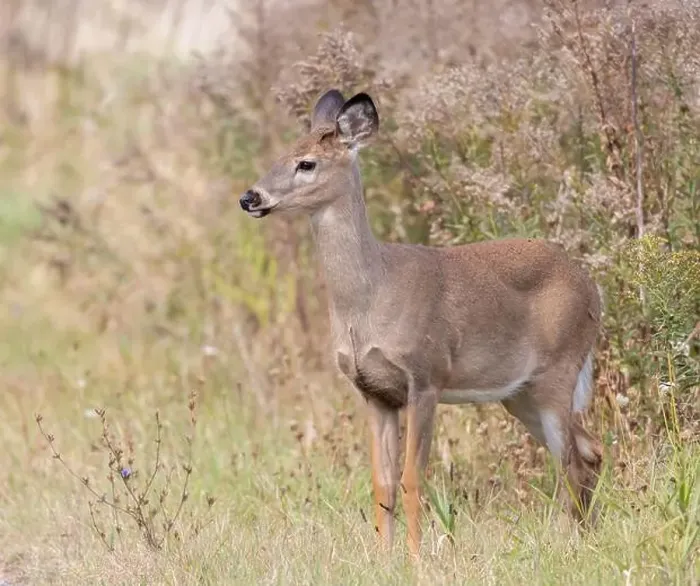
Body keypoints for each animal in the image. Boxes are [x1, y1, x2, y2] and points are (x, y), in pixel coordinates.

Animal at [239, 89, 603, 557]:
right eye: (281, 154)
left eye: (307, 163)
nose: (250, 197)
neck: (370, 298)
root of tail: (592, 287)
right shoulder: (374, 392)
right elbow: (382, 482)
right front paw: (383, 557)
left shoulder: (426, 376)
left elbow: (413, 477)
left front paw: (415, 558)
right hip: (519, 393)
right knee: (589, 450)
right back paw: (586, 536)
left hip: (558, 369)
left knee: (571, 461)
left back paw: (570, 542)